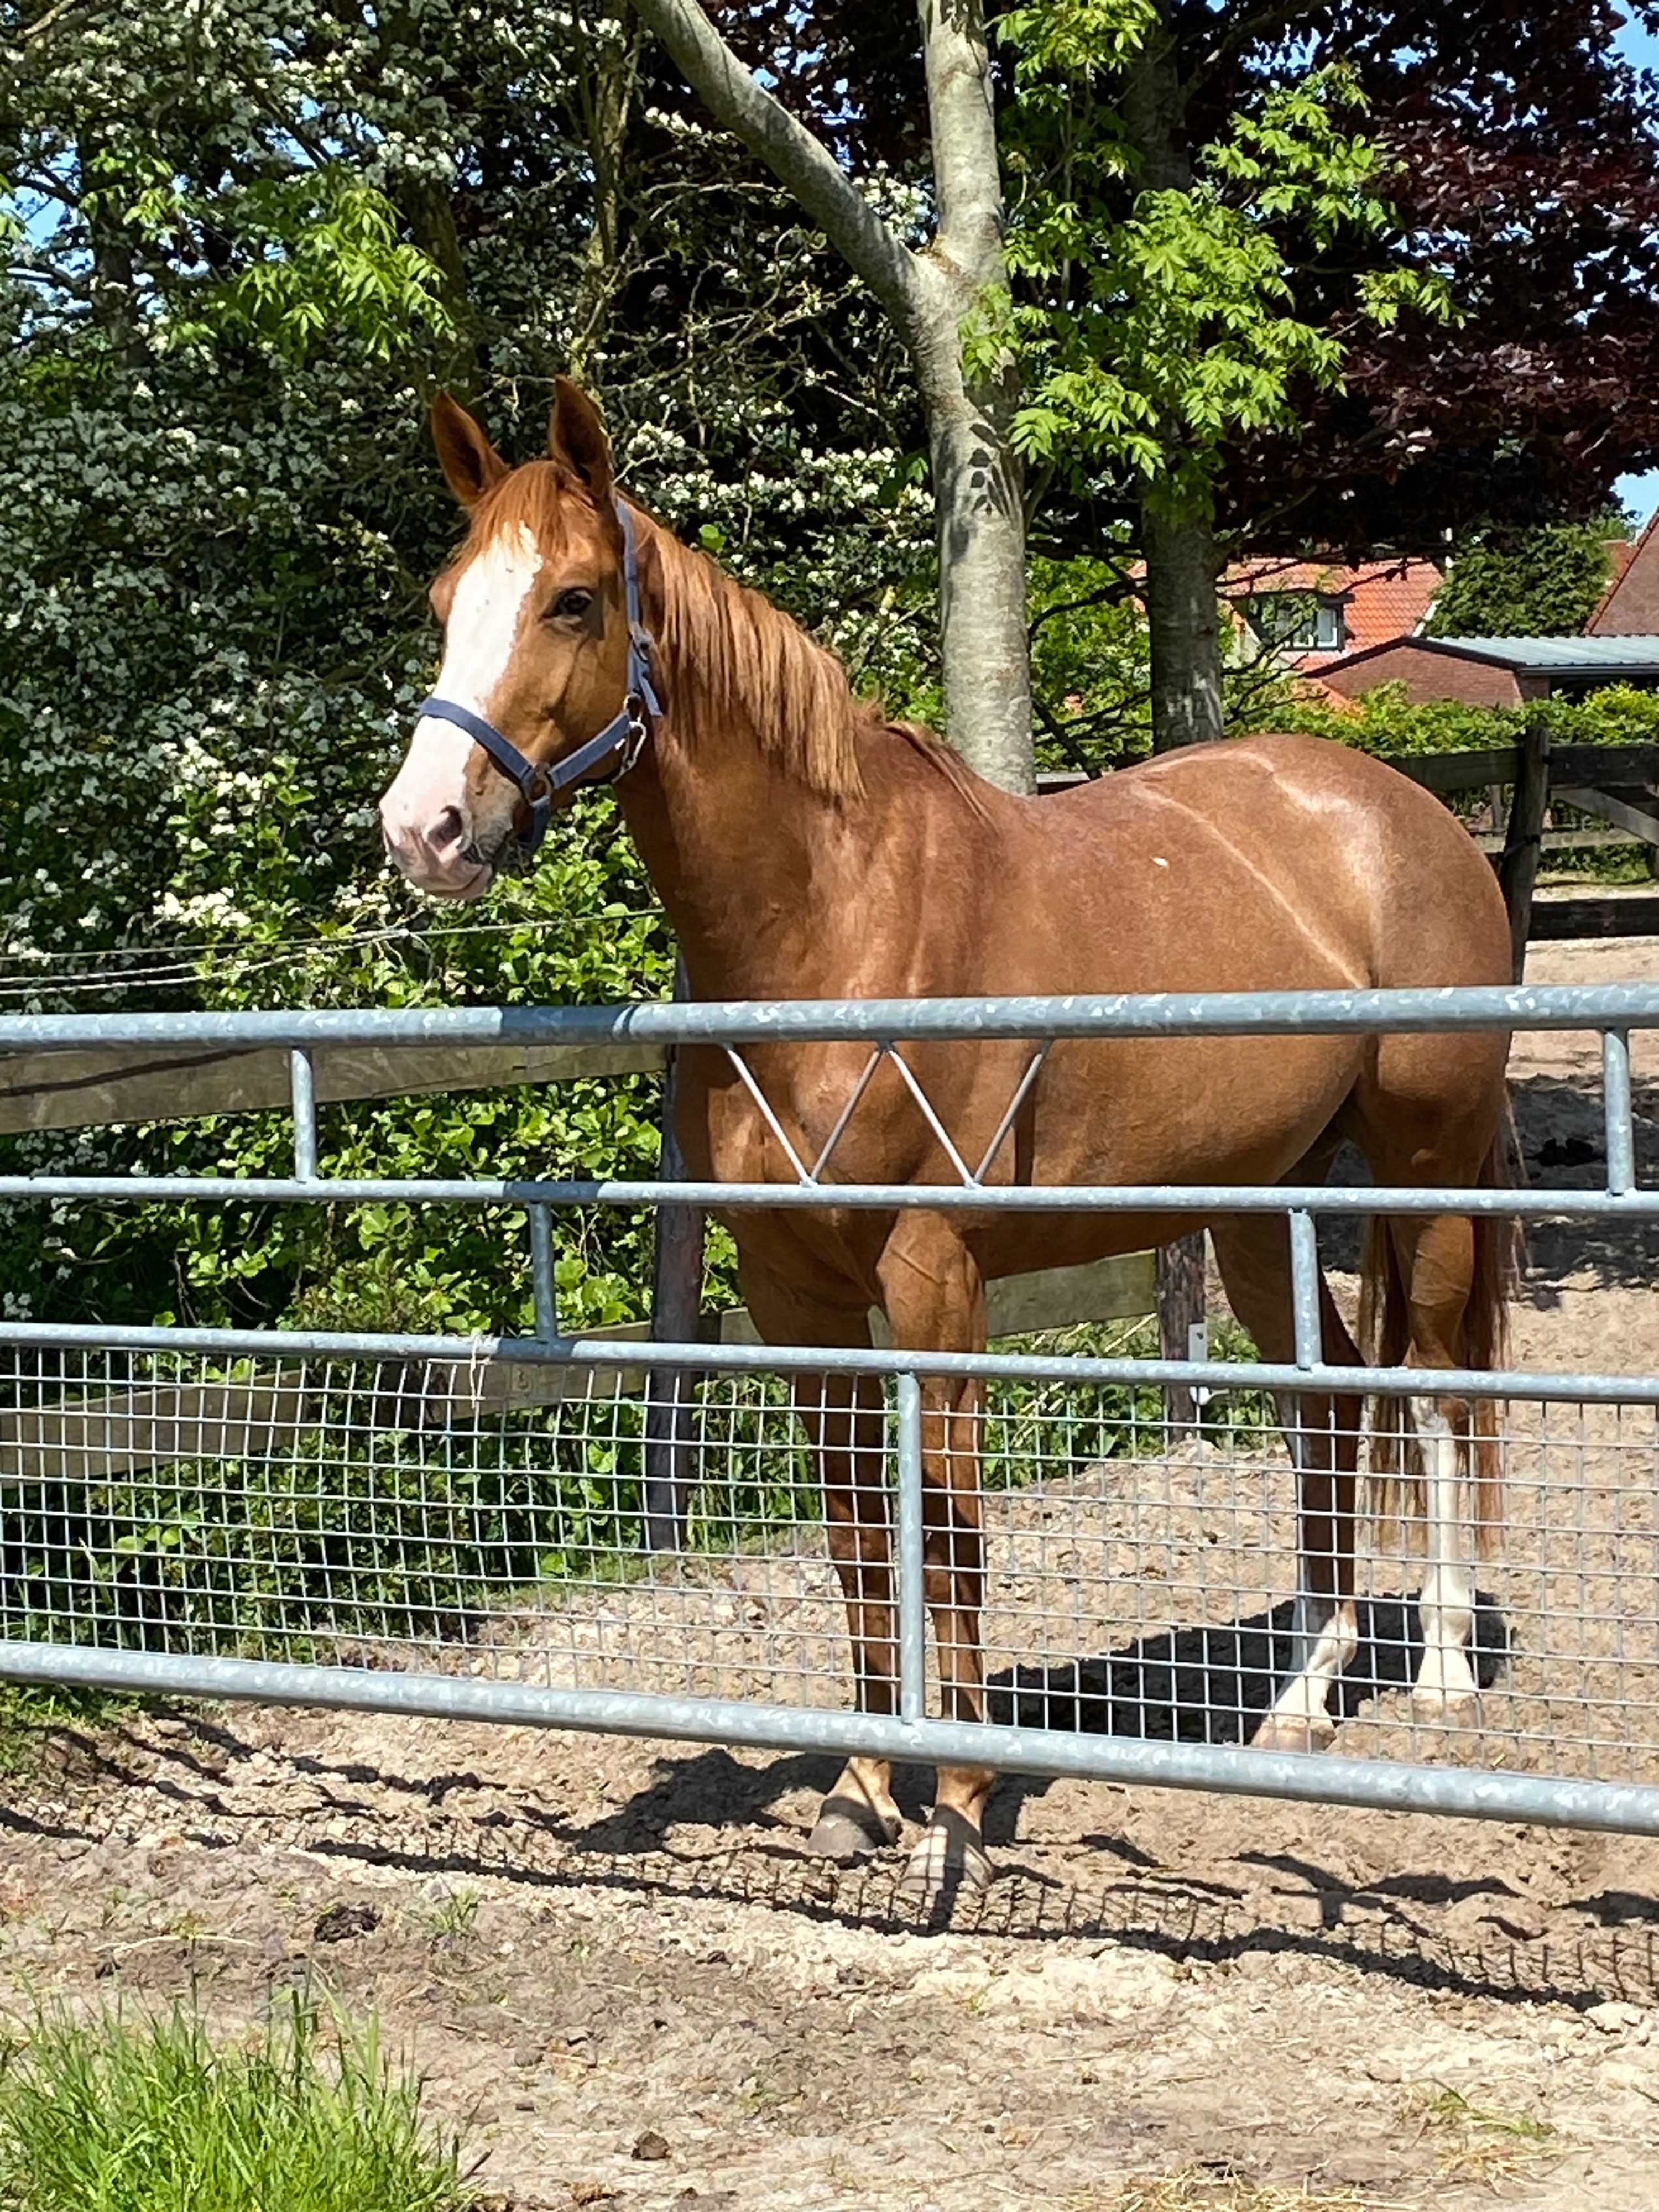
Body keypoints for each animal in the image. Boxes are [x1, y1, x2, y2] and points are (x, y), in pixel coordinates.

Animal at [379, 379, 1514, 1897]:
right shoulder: (795, 1294)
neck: (839, 923)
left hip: (1425, 1168)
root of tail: (1403, 811)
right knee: (1323, 1411)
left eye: (570, 599)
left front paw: (962, 1806)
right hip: (1248, 1205)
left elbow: (950, 1536)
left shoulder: (934, 1278)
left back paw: (1440, 1671)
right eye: (447, 598)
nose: (425, 827)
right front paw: (865, 1787)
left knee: (1437, 1396)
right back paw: (1294, 1702)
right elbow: (863, 1538)